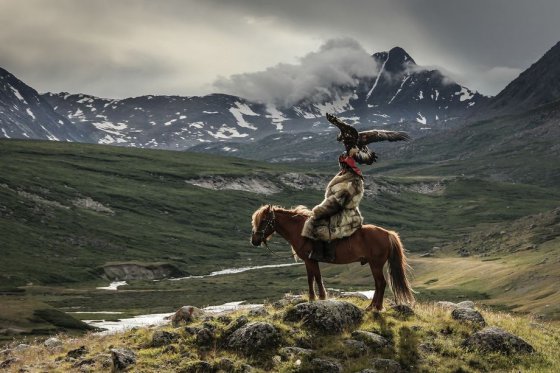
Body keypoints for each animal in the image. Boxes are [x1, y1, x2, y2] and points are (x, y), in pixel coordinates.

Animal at [252, 205, 414, 310]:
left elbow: (314, 278)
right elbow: (314, 278)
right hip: (374, 264)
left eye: (263, 221)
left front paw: (317, 298)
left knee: (381, 283)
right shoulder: (311, 261)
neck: (301, 231)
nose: (254, 241)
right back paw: (372, 306)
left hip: (376, 264)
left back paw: (377, 307)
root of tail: (388, 234)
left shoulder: (310, 260)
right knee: (378, 284)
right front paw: (317, 298)